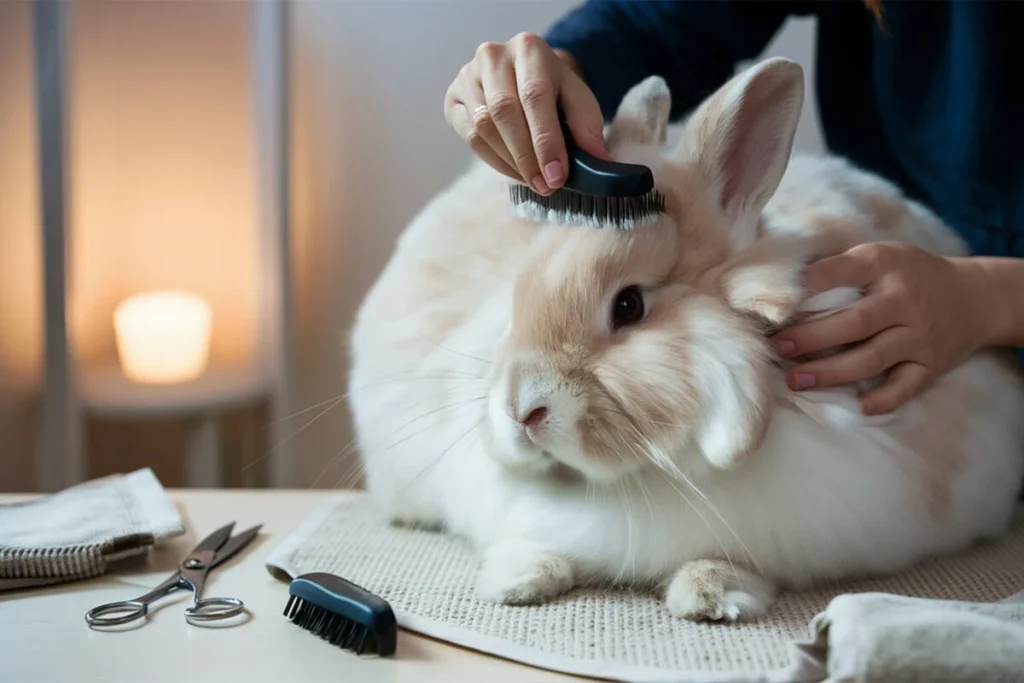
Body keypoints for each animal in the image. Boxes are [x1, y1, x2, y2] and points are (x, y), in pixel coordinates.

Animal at [350, 60, 1024, 626]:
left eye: (629, 306)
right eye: (516, 293)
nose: (522, 411)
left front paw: (712, 594)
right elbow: (535, 540)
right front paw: (518, 580)